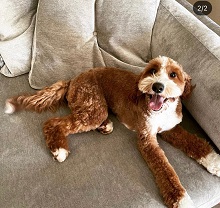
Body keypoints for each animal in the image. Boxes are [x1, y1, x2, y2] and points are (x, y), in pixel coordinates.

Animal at [4, 55, 220, 208]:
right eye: (152, 71)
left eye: (173, 75)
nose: (157, 86)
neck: (162, 110)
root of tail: (72, 79)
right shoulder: (147, 138)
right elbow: (165, 169)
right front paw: (181, 199)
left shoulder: (170, 129)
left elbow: (195, 142)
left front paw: (215, 162)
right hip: (93, 107)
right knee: (53, 123)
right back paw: (59, 149)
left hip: (93, 106)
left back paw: (105, 126)